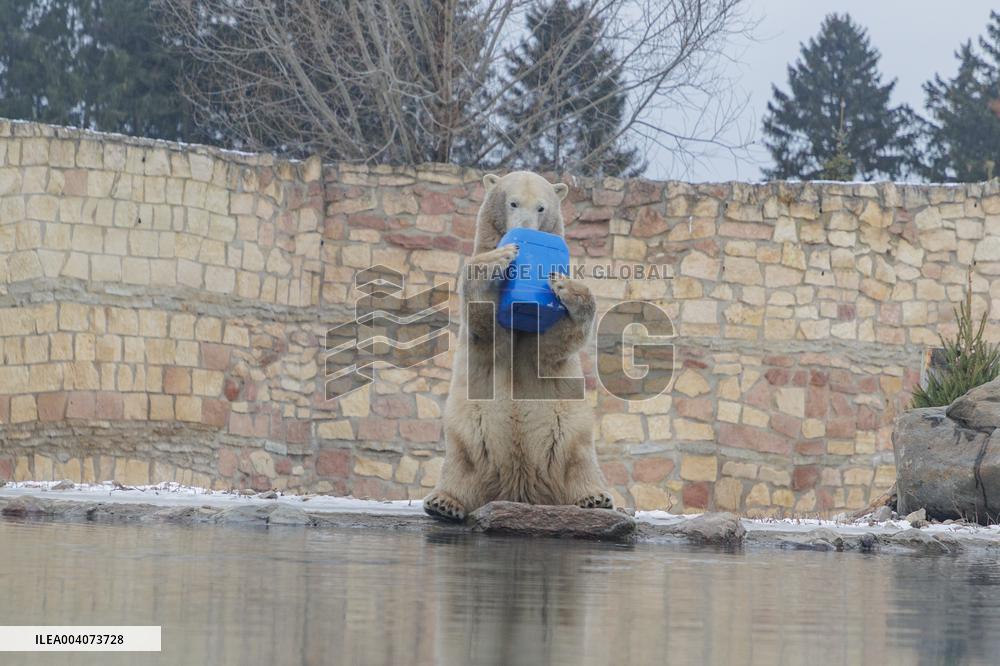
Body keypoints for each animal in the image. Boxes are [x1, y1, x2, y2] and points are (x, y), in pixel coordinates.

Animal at [423, 171, 613, 521]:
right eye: (512, 202)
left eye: (541, 207)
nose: (525, 228)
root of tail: (519, 487)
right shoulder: (485, 331)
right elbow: (485, 327)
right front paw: (497, 258)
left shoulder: (544, 346)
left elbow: (553, 344)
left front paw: (566, 286)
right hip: (468, 435)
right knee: (460, 464)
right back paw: (444, 502)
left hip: (570, 434)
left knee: (579, 463)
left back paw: (595, 498)